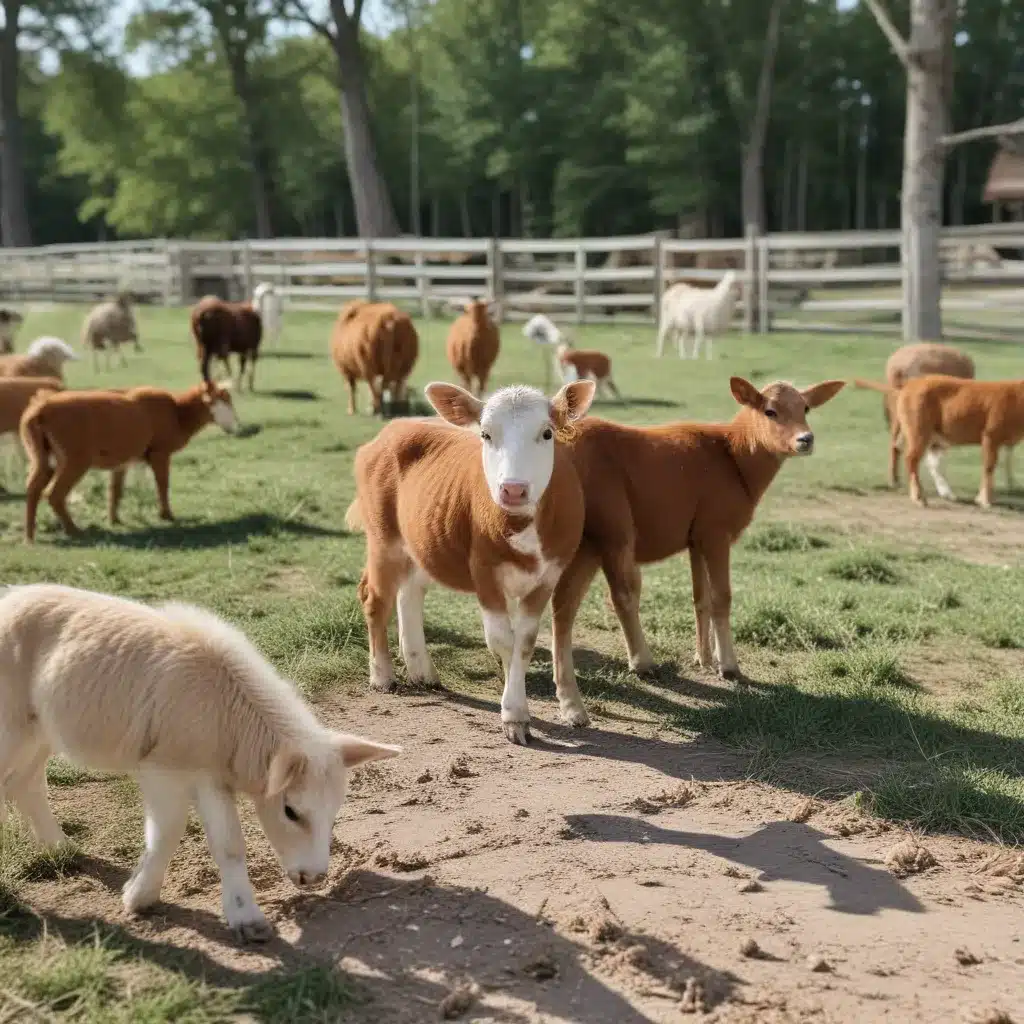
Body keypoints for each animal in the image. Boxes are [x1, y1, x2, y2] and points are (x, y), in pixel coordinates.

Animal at [0, 585, 399, 942]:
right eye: (290, 811)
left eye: (334, 813)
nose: (314, 878)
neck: (229, 717)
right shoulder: (163, 769)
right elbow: (166, 833)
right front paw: (140, 897)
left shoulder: (210, 775)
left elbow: (230, 844)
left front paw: (246, 917)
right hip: (13, 726)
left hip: (39, 730)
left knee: (26, 782)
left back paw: (61, 849)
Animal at [348, 380, 598, 741]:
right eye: (485, 434)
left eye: (547, 433)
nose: (513, 489)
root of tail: (395, 426)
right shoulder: (484, 571)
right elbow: (502, 641)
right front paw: (514, 714)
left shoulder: (548, 575)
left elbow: (524, 643)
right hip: (384, 539)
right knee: (375, 598)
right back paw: (382, 674)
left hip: (420, 542)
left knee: (409, 594)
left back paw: (421, 669)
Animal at [552, 376, 847, 704]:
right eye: (769, 411)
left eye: (805, 408)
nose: (805, 439)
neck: (734, 455)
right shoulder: (716, 534)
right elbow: (721, 597)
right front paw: (728, 666)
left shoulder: (697, 540)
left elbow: (700, 598)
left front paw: (704, 658)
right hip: (614, 530)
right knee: (622, 595)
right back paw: (642, 662)